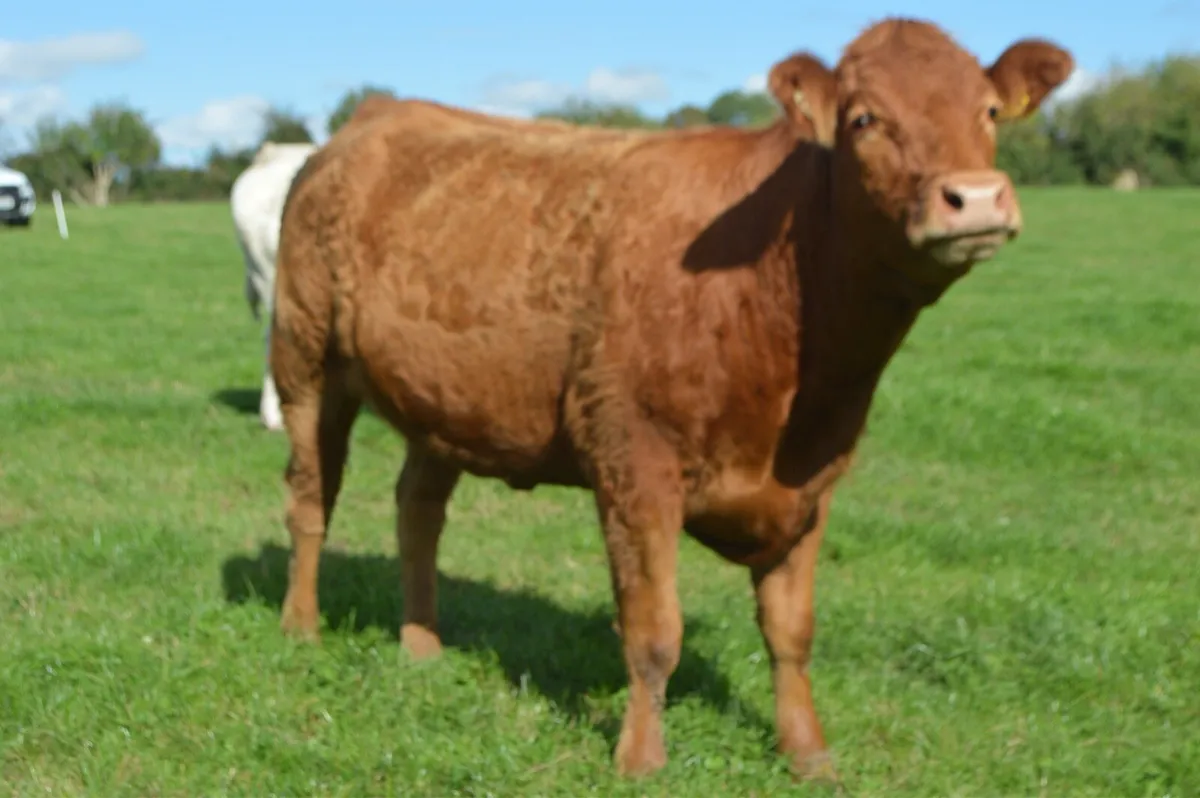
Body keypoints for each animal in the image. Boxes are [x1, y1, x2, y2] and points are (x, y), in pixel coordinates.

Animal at [268, 17, 1073, 782]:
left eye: (989, 109)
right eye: (865, 118)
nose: (975, 197)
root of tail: (377, 114)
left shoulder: (813, 484)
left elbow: (792, 633)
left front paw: (809, 754)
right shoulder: (634, 462)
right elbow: (654, 630)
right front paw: (640, 758)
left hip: (447, 401)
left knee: (418, 510)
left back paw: (422, 643)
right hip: (304, 357)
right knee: (310, 498)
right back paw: (301, 626)